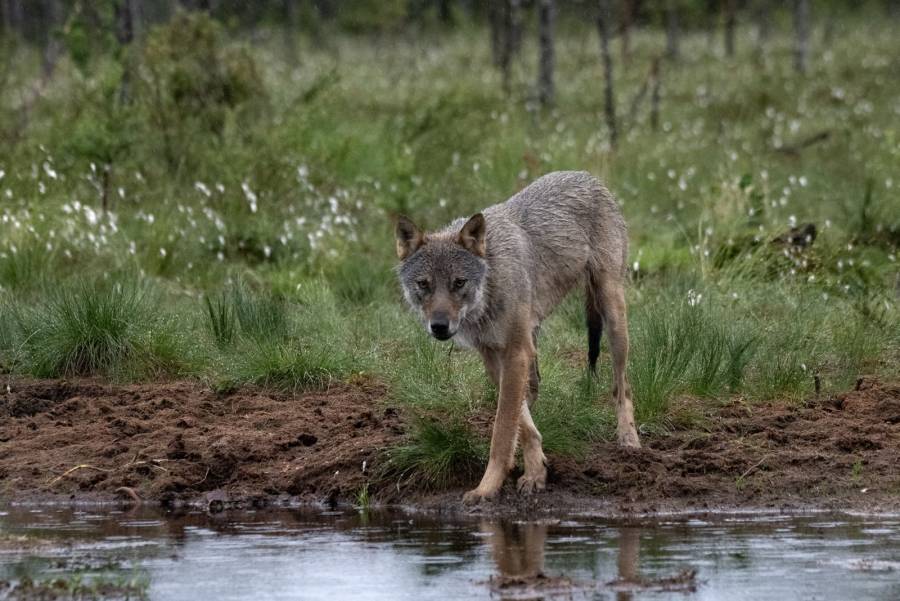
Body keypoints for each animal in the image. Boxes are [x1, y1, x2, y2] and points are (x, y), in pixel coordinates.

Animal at [396, 170, 640, 502]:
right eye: (424, 284)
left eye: (459, 282)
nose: (440, 326)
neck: (490, 285)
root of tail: (587, 176)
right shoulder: (493, 355)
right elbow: (519, 423)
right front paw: (536, 471)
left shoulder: (515, 351)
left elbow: (502, 431)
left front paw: (487, 487)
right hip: (535, 339)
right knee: (535, 388)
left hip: (612, 313)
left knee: (621, 385)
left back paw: (629, 438)